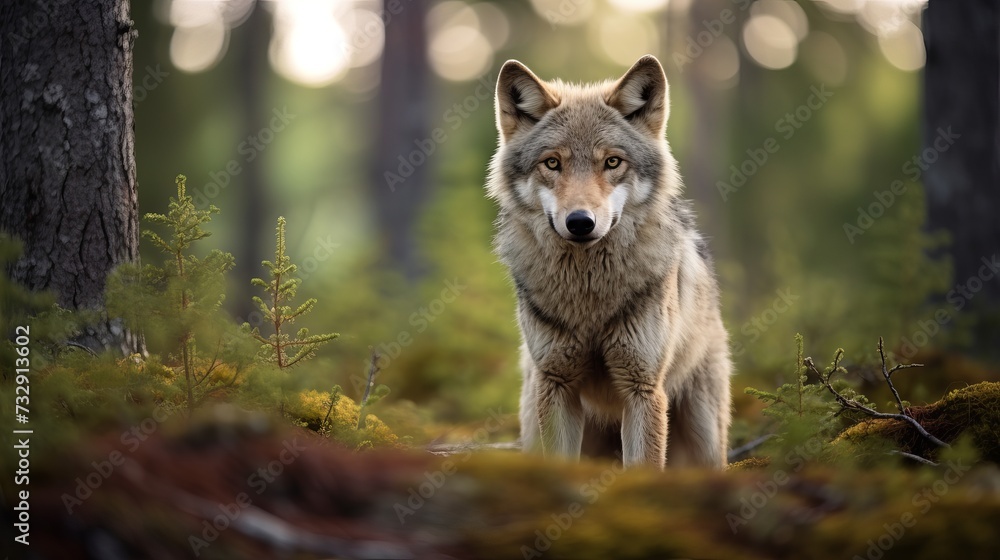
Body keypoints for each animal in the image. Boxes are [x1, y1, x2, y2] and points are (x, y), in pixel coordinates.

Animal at [486, 55, 731, 469]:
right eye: (552, 163)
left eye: (612, 162)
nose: (580, 222)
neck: (589, 295)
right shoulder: (557, 384)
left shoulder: (642, 387)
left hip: (705, 437)